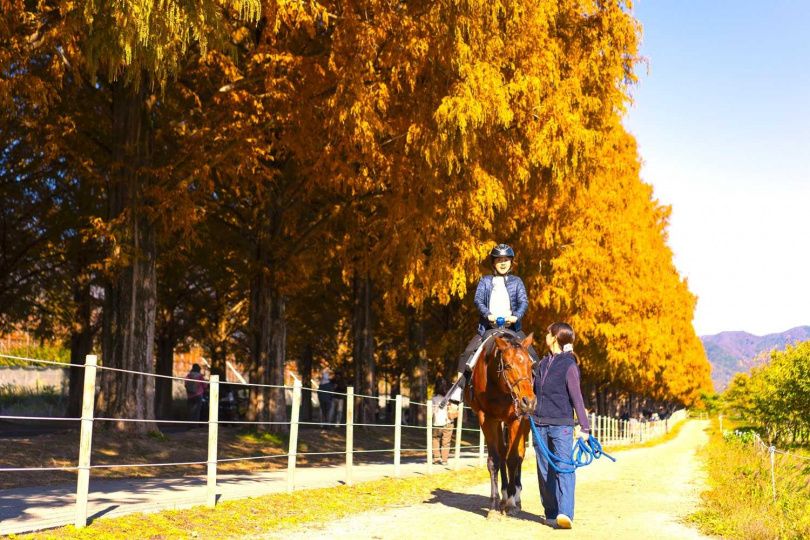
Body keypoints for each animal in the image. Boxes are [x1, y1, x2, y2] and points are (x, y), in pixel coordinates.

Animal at [464, 330, 532, 520]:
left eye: (531, 365)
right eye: (507, 366)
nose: (528, 401)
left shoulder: (516, 418)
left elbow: (513, 458)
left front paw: (511, 503)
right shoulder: (486, 418)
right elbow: (494, 459)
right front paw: (494, 506)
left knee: (520, 454)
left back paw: (515, 496)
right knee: (502, 454)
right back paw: (503, 495)